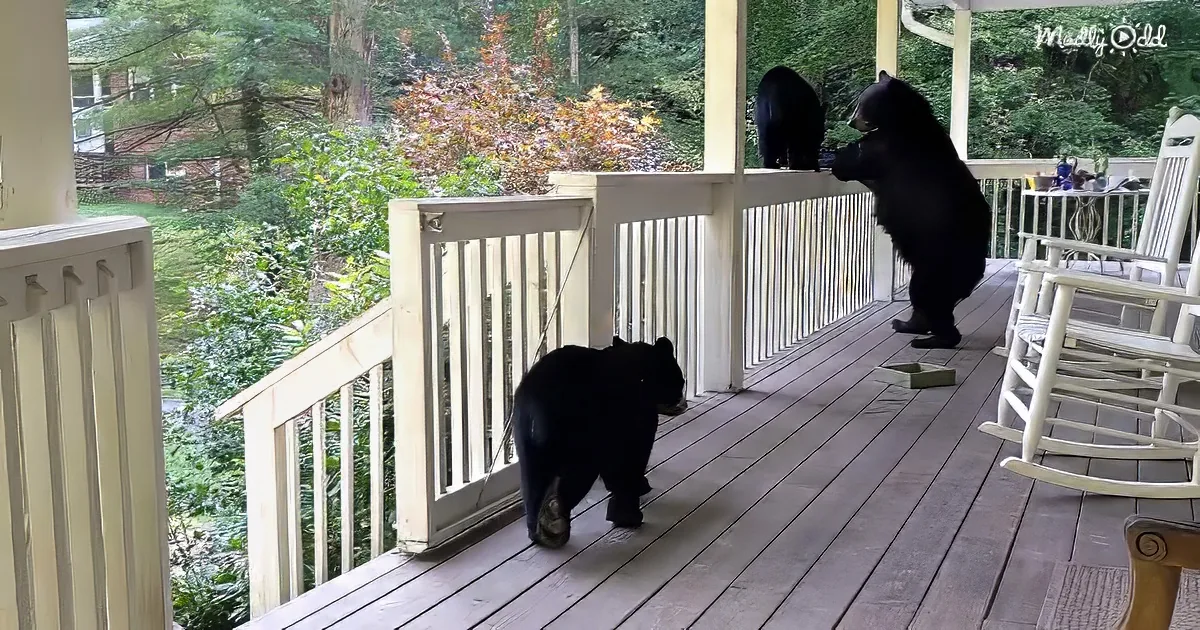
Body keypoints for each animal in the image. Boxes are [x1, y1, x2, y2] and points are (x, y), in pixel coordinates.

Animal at [513, 335, 687, 548]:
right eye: (679, 379)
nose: (680, 399)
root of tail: (537, 403)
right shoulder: (634, 419)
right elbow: (630, 462)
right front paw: (628, 513)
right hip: (579, 435)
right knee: (578, 474)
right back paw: (555, 517)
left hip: (526, 440)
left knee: (532, 480)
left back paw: (539, 531)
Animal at [831, 70, 990, 349]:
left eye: (864, 103)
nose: (851, 121)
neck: (904, 122)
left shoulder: (891, 149)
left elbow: (857, 161)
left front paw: (836, 157)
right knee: (923, 301)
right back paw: (907, 324)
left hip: (938, 267)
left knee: (931, 299)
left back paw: (933, 339)